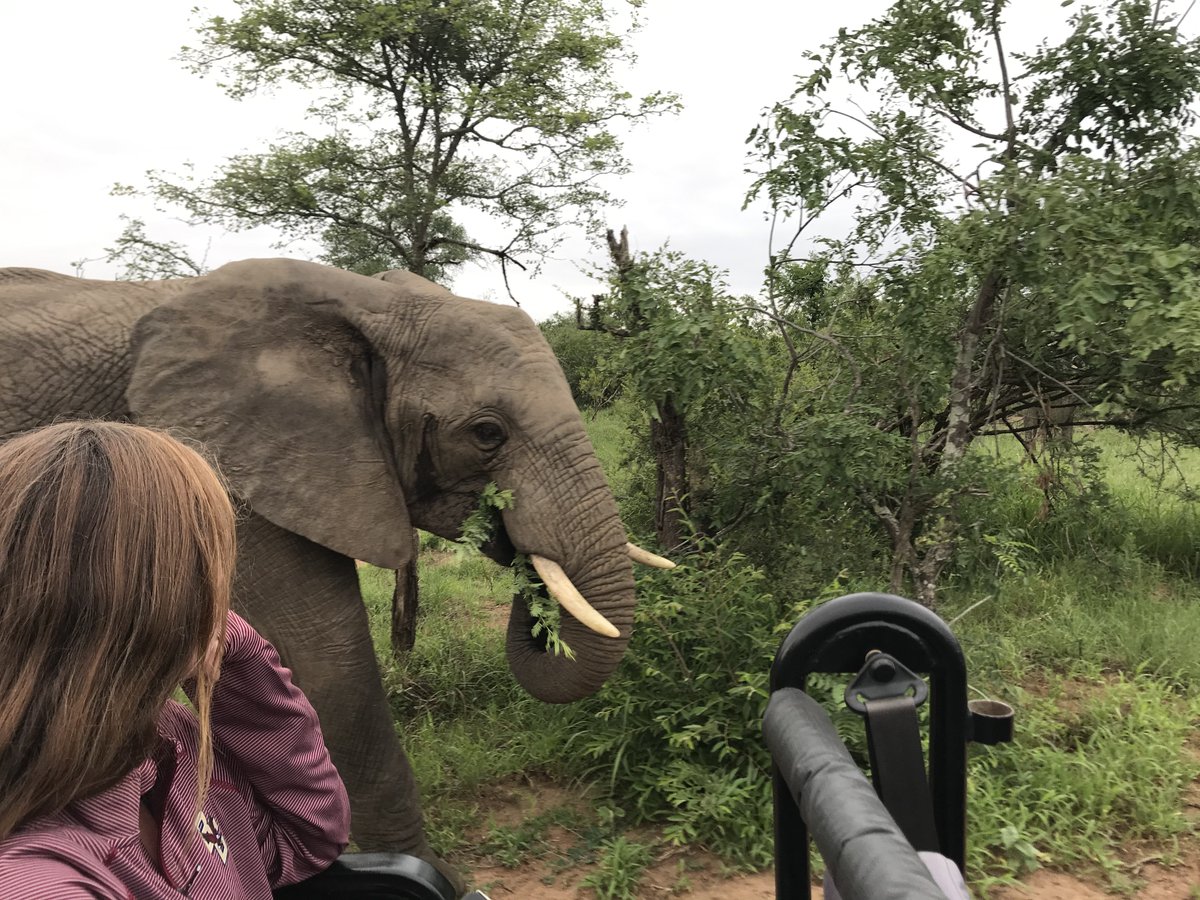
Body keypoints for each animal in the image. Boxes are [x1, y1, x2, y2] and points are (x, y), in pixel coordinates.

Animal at [0, 258, 672, 883]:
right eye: (487, 433)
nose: (512, 536)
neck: (369, 301)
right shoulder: (239, 458)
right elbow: (329, 658)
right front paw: (426, 872)